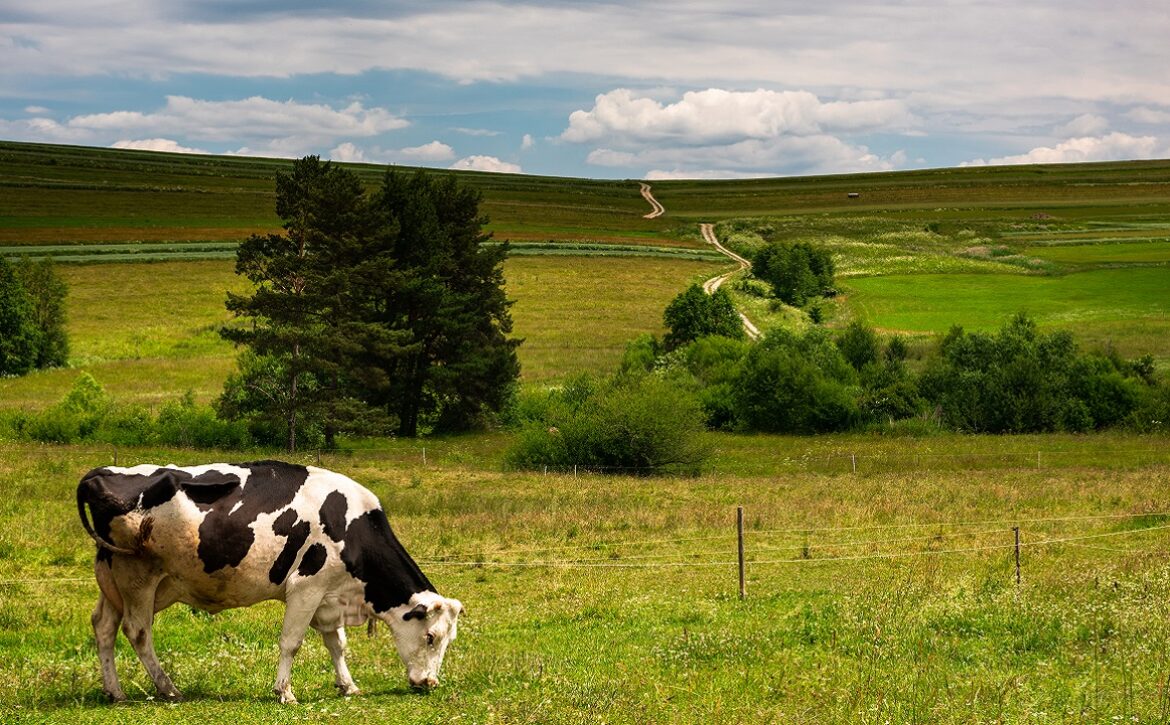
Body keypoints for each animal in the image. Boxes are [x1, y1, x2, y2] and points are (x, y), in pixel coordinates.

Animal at [74, 460, 460, 706]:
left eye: (448, 640)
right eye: (430, 636)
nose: (430, 682)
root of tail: (101, 473)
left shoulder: (328, 597)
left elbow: (337, 644)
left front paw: (347, 685)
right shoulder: (306, 587)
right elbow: (291, 643)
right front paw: (284, 692)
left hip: (114, 578)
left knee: (104, 626)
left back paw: (115, 691)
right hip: (138, 577)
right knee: (138, 631)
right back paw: (168, 689)